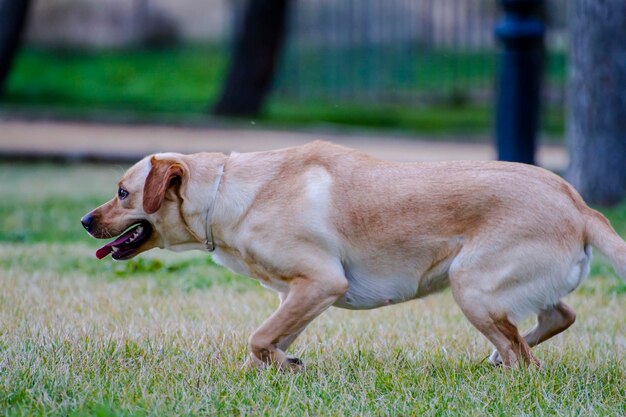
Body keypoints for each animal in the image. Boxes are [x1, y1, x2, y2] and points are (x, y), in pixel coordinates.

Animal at [81, 141, 624, 368]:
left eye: (122, 192)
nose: (86, 221)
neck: (225, 192)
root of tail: (579, 205)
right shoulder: (297, 295)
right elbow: (268, 340)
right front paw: (279, 366)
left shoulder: (322, 282)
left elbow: (258, 338)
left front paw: (283, 366)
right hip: (499, 290)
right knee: (558, 315)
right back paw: (493, 357)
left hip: (471, 284)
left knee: (526, 360)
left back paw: (504, 368)